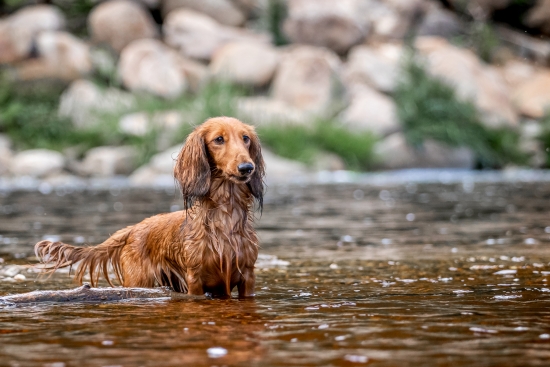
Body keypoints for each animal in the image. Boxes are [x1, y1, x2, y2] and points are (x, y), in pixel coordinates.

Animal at [33, 118, 266, 300]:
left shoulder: (247, 276)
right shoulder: (195, 279)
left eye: (245, 138)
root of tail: (133, 228)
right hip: (139, 280)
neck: (226, 214)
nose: (247, 168)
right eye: (218, 139)